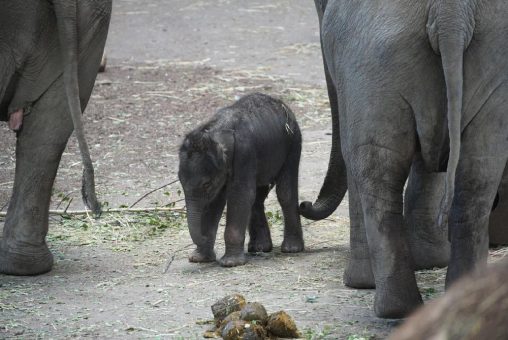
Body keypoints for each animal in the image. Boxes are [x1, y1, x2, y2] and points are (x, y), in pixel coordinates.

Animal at [179, 93, 302, 268]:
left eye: (207, 184)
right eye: (180, 181)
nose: (203, 236)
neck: (216, 133)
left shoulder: (244, 154)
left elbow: (240, 196)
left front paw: (230, 263)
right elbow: (215, 202)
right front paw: (199, 259)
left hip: (293, 142)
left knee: (285, 193)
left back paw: (291, 249)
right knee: (257, 197)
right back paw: (260, 248)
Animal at [302, 0, 508, 318]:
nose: (304, 204)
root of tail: (452, 14)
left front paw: (360, 283)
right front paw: (429, 261)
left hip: (375, 58)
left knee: (375, 167)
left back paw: (392, 308)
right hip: (491, 58)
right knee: (479, 171)